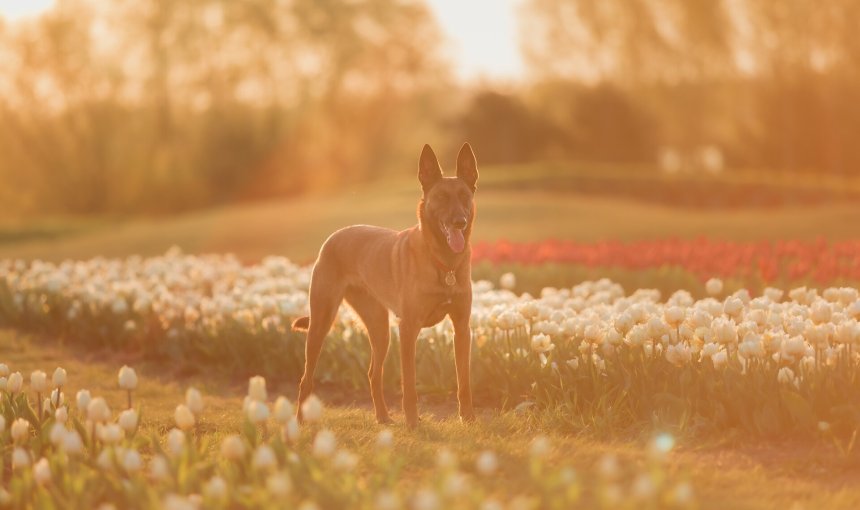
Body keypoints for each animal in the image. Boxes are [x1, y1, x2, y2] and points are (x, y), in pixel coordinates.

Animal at [288, 142, 478, 426]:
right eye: (442, 197)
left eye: (464, 196)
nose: (459, 222)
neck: (443, 263)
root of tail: (333, 237)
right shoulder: (408, 329)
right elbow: (409, 383)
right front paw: (412, 423)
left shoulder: (462, 328)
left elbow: (464, 380)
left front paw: (467, 418)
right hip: (321, 323)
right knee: (305, 379)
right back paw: (300, 421)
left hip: (380, 329)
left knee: (372, 374)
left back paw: (383, 417)